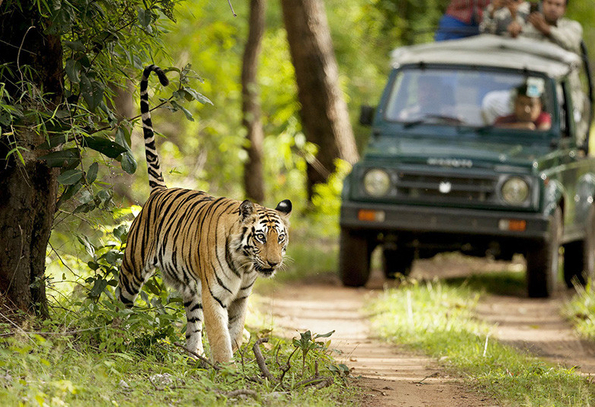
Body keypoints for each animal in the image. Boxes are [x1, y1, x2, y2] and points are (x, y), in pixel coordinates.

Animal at [117, 65, 292, 364]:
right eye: (260, 237)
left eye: (280, 238)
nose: (273, 263)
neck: (246, 265)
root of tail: (160, 190)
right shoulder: (215, 295)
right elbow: (220, 336)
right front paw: (226, 367)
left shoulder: (241, 298)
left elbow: (235, 330)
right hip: (133, 267)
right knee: (120, 302)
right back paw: (111, 332)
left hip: (191, 288)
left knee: (192, 323)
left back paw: (194, 355)